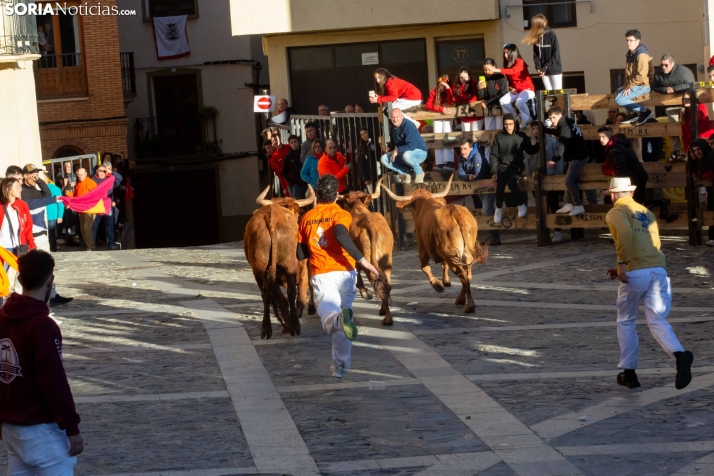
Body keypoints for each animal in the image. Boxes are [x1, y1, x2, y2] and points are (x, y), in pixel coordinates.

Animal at [243, 185, 312, 338]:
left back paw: (267, 329)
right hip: (289, 266)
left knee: (268, 294)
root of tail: (272, 216)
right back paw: (293, 326)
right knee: (290, 293)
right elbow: (300, 295)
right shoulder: (303, 269)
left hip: (260, 270)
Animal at [340, 178, 394, 328]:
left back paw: (387, 318)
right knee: (385, 284)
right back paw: (385, 313)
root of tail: (368, 222)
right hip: (386, 261)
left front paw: (364, 292)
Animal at [382, 175, 486, 312]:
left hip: (452, 256)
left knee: (463, 276)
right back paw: (461, 299)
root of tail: (454, 210)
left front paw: (438, 285)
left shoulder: (422, 248)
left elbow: (425, 267)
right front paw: (445, 281)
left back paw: (469, 305)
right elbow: (443, 265)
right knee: (467, 275)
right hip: (465, 254)